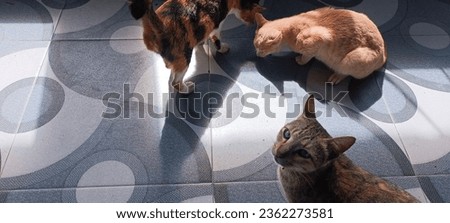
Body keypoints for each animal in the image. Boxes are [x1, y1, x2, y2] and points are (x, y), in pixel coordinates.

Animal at [128, 0, 264, 93]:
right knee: (175, 82)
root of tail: (159, 27)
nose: (254, 21)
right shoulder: (216, 26)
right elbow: (217, 40)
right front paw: (222, 48)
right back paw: (187, 89)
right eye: (254, 6)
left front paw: (201, 42)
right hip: (184, 57)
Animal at [253, 7, 386, 84]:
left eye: (262, 49)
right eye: (255, 46)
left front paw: (300, 60)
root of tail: (384, 57)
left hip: (351, 59)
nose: (257, 54)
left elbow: (306, 57)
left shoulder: (319, 39)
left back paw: (335, 77)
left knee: (344, 73)